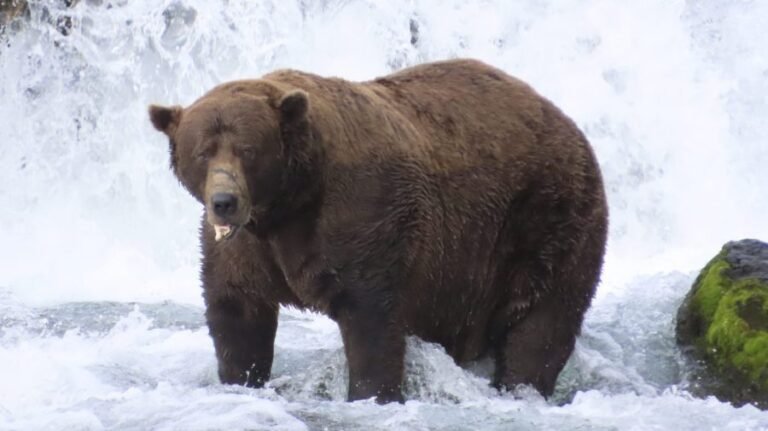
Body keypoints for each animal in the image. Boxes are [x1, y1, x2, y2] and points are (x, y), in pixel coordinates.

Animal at [148, 59, 608, 403]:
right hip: (465, 273)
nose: (224, 201)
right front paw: (241, 378)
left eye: (248, 150)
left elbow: (371, 318)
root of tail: (567, 122)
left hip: (546, 219)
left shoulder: (363, 215)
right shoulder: (246, 247)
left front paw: (372, 393)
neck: (289, 203)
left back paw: (521, 385)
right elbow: (237, 311)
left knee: (543, 322)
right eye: (203, 152)